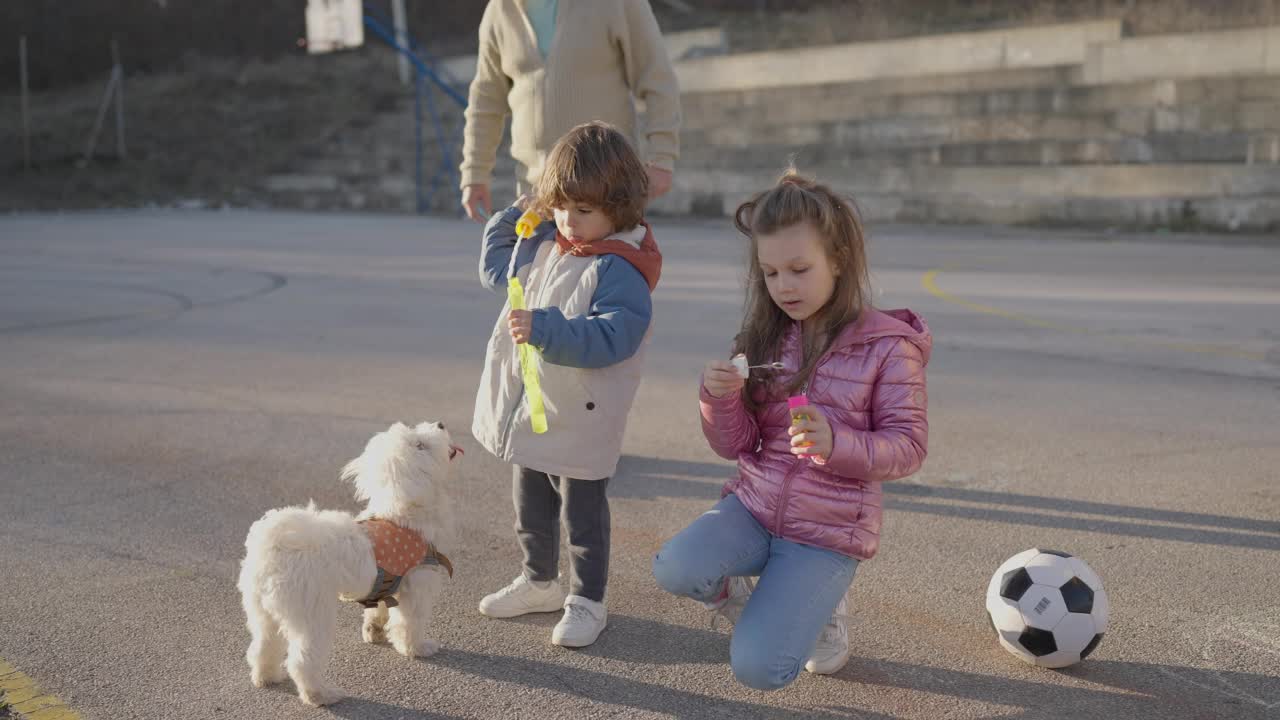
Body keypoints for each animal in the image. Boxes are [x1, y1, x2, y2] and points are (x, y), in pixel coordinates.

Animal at [238, 417, 463, 702]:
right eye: (420, 445)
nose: (441, 423)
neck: (403, 513)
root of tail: (274, 546)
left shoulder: (386, 586)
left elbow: (378, 609)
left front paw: (374, 630)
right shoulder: (417, 584)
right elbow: (409, 622)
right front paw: (417, 648)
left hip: (261, 608)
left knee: (263, 643)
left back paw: (266, 677)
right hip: (311, 612)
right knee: (302, 661)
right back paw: (321, 695)